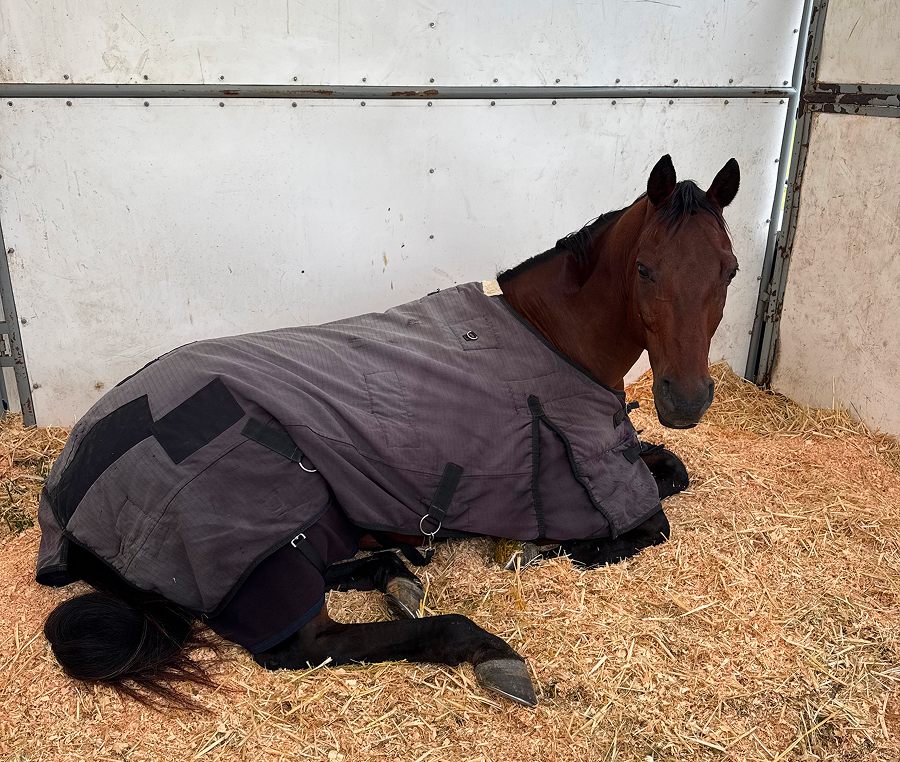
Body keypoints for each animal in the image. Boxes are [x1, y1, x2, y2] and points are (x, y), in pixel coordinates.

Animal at [39, 154, 740, 709]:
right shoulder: (587, 484)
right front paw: (547, 551)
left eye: (730, 270)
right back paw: (481, 643)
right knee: (306, 641)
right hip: (265, 539)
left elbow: (673, 468)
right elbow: (648, 524)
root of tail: (72, 497)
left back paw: (398, 573)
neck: (552, 338)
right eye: (645, 268)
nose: (685, 400)